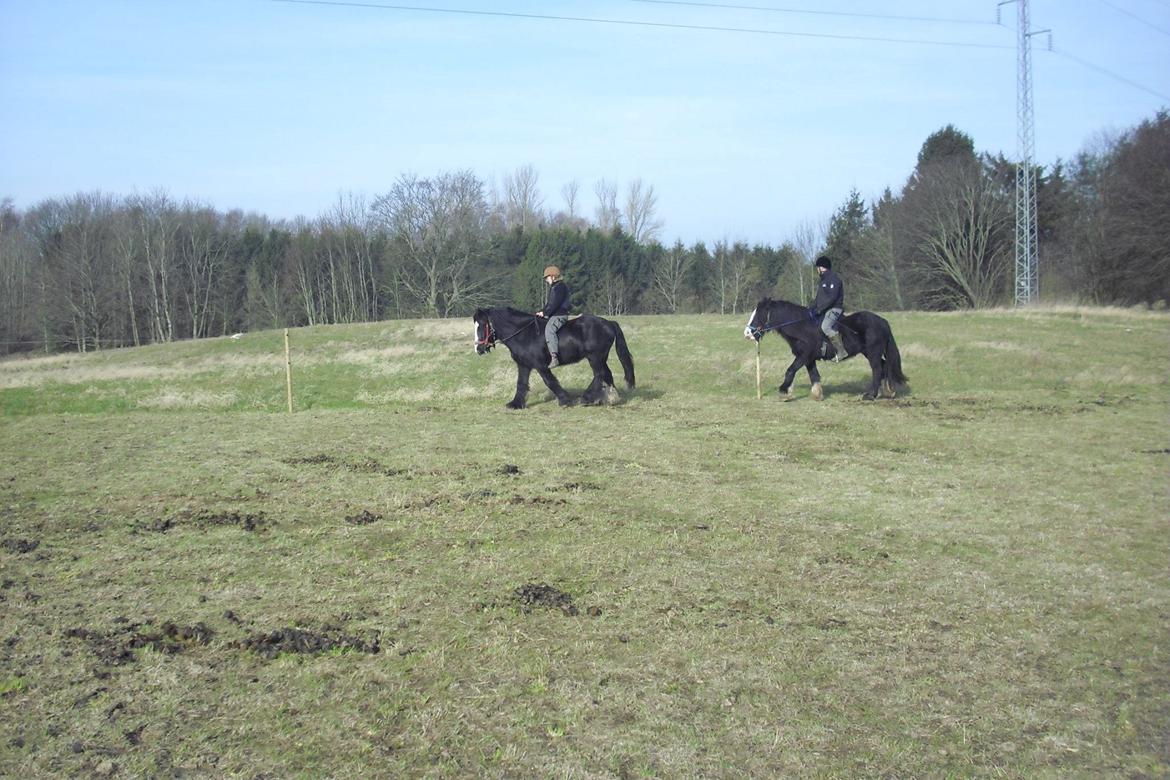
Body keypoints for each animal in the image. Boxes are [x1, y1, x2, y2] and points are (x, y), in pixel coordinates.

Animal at [470, 308, 636, 411]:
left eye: (482, 325)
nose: (479, 349)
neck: (523, 334)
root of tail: (609, 323)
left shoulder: (540, 365)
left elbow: (550, 381)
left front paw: (565, 400)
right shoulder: (524, 365)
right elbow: (521, 384)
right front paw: (515, 404)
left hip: (595, 358)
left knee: (599, 374)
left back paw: (587, 398)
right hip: (600, 358)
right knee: (606, 375)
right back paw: (609, 398)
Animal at [744, 299, 907, 402]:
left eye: (759, 314)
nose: (747, 333)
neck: (801, 327)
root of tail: (883, 322)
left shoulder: (805, 355)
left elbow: (790, 370)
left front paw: (784, 392)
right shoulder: (808, 359)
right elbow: (814, 375)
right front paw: (817, 395)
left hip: (873, 352)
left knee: (877, 369)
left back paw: (871, 395)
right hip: (869, 352)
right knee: (884, 366)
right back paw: (888, 391)